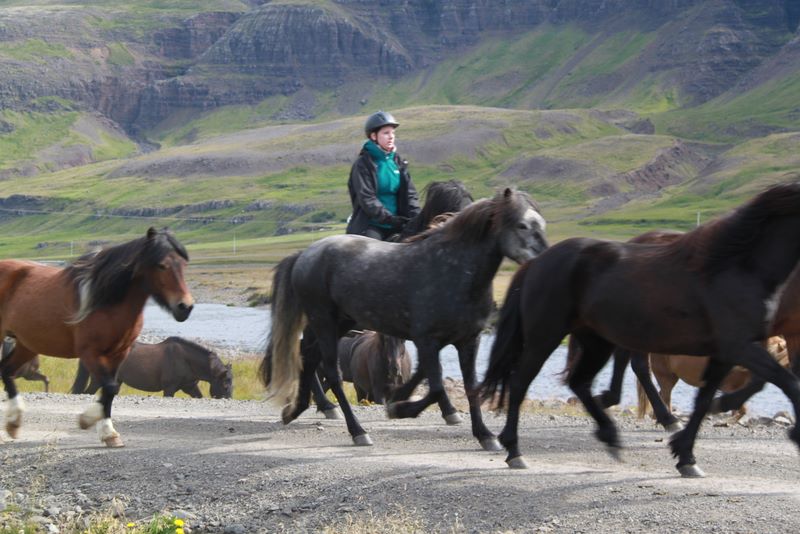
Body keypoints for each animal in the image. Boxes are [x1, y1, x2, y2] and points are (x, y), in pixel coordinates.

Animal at [0, 227, 194, 447]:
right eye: (161, 265)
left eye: (183, 264)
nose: (185, 307)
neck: (106, 301)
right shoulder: (90, 353)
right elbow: (109, 387)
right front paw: (89, 420)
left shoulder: (119, 353)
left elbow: (109, 390)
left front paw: (109, 433)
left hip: (27, 344)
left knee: (6, 370)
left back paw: (14, 423)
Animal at [71, 337, 233, 399]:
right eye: (225, 386)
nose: (229, 399)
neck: (186, 360)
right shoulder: (169, 389)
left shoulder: (190, 387)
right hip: (97, 381)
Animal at [262, 187, 548, 449]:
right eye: (522, 225)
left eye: (541, 224)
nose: (543, 260)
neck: (451, 270)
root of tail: (305, 254)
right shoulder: (427, 341)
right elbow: (435, 386)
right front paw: (400, 408)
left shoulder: (468, 341)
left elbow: (469, 386)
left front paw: (485, 435)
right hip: (324, 322)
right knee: (331, 372)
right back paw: (357, 431)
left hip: (340, 323)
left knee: (308, 356)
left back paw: (298, 409)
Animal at [637, 336, 790, 421]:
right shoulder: (728, 387)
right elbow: (740, 409)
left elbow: (739, 409)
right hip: (666, 378)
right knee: (666, 397)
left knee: (660, 395)